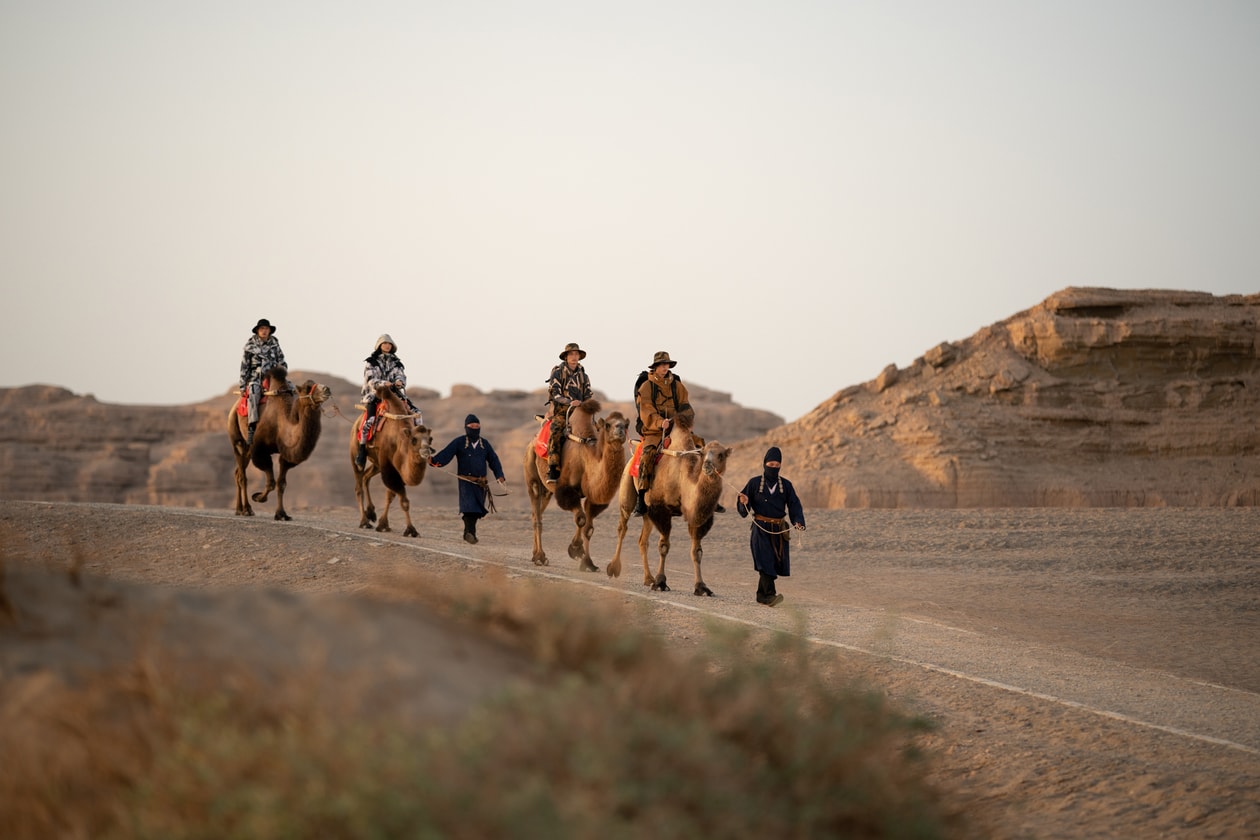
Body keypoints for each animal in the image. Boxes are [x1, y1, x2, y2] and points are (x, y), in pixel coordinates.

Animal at [228, 367, 332, 518]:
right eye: (307, 388)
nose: (326, 389)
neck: (281, 424)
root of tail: (234, 408)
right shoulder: (260, 450)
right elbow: (271, 482)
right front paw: (258, 497)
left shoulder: (286, 454)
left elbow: (281, 483)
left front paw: (281, 514)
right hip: (237, 436)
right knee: (242, 476)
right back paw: (247, 509)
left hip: (247, 448)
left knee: (237, 473)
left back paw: (238, 509)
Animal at [350, 387, 433, 539]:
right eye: (414, 440)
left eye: (430, 439)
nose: (426, 451)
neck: (400, 440)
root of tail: (357, 422)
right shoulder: (388, 466)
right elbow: (403, 500)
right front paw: (411, 530)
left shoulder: (397, 469)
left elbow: (390, 495)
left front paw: (383, 524)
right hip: (355, 449)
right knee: (358, 483)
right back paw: (364, 521)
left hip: (377, 463)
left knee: (366, 477)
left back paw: (371, 513)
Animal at [521, 400, 630, 571]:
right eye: (608, 425)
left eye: (626, 425)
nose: (620, 429)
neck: (588, 459)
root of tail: (532, 441)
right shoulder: (566, 489)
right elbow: (581, 519)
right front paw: (575, 549)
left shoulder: (592, 496)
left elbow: (589, 528)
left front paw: (588, 563)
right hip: (531, 472)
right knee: (536, 512)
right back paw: (540, 557)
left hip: (547, 491)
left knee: (535, 513)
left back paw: (534, 555)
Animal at [607, 418, 730, 594]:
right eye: (703, 453)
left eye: (721, 455)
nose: (707, 466)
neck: (682, 478)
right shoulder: (661, 509)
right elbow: (663, 546)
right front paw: (660, 582)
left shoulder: (697, 515)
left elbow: (697, 551)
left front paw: (702, 587)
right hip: (626, 490)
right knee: (622, 528)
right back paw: (614, 568)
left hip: (647, 512)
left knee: (642, 540)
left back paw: (648, 579)